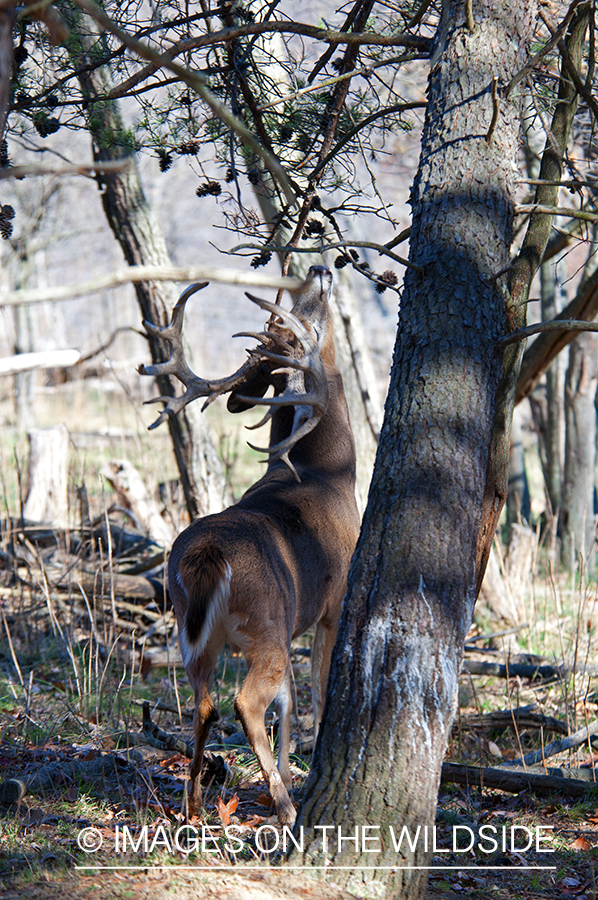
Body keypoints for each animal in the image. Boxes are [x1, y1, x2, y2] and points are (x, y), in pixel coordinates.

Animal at [138, 264, 358, 828]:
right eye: (301, 327)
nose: (319, 268)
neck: (328, 473)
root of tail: (207, 558)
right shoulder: (331, 604)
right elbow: (315, 692)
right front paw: (298, 773)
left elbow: (290, 704)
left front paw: (290, 769)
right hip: (266, 628)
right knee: (246, 703)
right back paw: (284, 809)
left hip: (195, 631)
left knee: (205, 702)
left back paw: (194, 805)